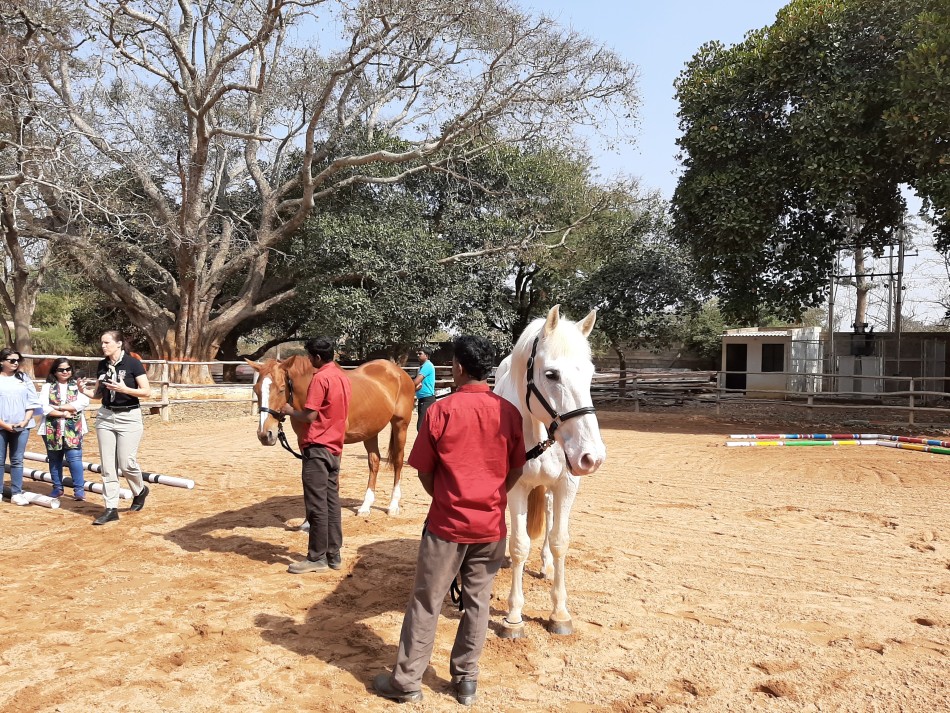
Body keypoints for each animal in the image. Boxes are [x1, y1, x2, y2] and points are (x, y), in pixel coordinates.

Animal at [247, 356, 416, 516]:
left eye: (282, 389)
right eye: (256, 389)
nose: (264, 434)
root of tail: (399, 372)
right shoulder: (304, 443)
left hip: (400, 425)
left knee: (398, 461)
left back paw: (393, 506)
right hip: (370, 430)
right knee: (374, 462)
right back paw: (365, 507)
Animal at [493, 305, 607, 637]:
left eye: (591, 374)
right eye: (551, 374)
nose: (592, 457)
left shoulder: (566, 486)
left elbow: (559, 541)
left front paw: (559, 613)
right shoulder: (516, 488)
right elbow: (519, 545)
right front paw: (513, 616)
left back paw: (546, 566)